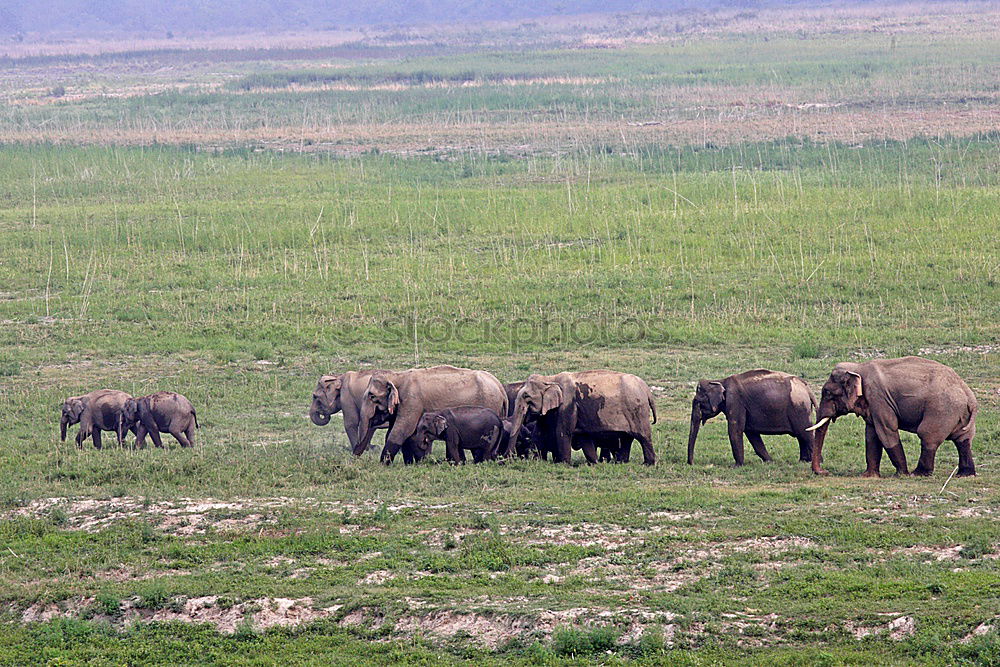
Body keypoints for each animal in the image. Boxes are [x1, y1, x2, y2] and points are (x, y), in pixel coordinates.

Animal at [356, 366, 508, 464]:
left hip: (490, 403)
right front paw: (410, 463)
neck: (398, 376)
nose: (355, 460)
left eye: (372, 396)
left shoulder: (412, 401)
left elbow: (402, 430)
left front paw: (383, 464)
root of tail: (501, 388)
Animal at [508, 370, 656, 464]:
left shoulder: (568, 404)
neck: (550, 379)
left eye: (526, 396)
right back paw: (621, 463)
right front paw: (594, 463)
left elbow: (563, 432)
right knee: (627, 438)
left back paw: (648, 464)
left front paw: (563, 464)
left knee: (643, 436)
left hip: (637, 410)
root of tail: (647, 390)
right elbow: (540, 433)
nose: (508, 461)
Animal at [688, 370, 820, 464]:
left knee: (805, 434)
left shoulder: (735, 402)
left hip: (799, 408)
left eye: (698, 402)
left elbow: (735, 430)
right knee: (801, 436)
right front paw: (769, 462)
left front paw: (737, 466)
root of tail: (807, 387)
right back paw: (803, 461)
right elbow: (751, 433)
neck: (721, 380)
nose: (692, 463)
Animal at [808, 358, 980, 478]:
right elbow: (871, 434)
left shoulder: (879, 399)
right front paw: (868, 476)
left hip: (941, 410)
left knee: (927, 435)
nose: (825, 472)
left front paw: (901, 474)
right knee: (963, 439)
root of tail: (969, 397)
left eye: (827, 393)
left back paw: (917, 473)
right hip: (959, 415)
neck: (858, 367)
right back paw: (965, 474)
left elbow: (886, 431)